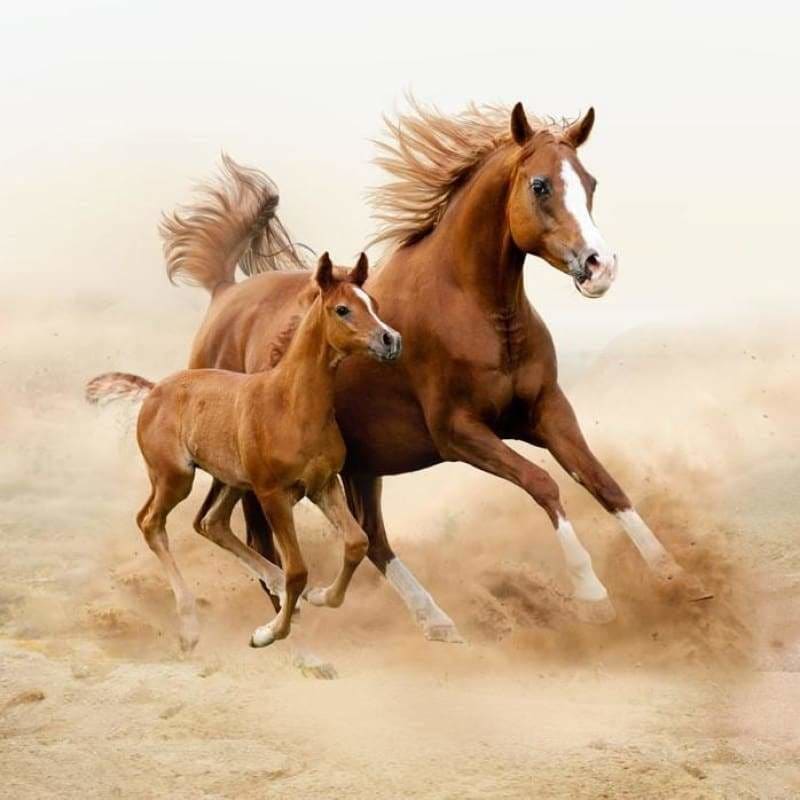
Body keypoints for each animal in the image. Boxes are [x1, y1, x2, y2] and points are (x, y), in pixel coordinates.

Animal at [134, 252, 401, 651]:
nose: (391, 340)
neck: (291, 405)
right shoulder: (273, 495)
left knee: (211, 523)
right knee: (151, 523)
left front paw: (321, 596)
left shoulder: (323, 485)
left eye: (374, 304)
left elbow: (356, 542)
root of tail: (154, 391)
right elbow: (298, 570)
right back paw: (190, 625)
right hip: (176, 478)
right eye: (342, 309)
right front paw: (268, 633)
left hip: (233, 481)